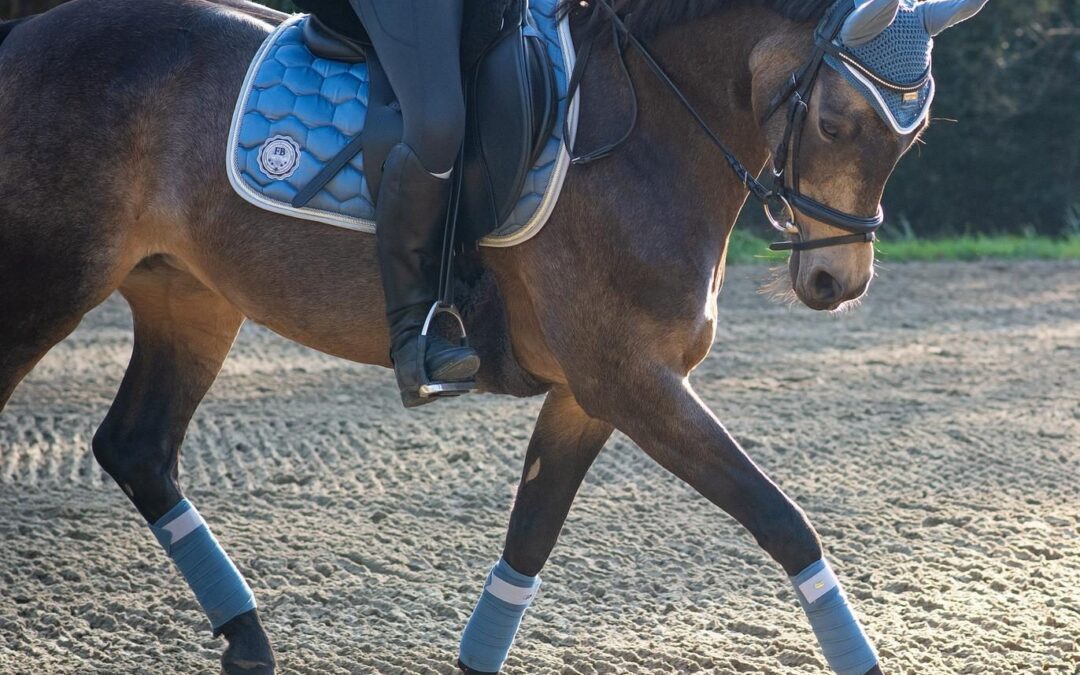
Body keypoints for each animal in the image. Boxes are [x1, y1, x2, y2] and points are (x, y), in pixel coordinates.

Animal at [0, 0, 989, 672]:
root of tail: (29, 36)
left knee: (137, 447)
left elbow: (528, 539)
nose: (836, 285)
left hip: (190, 297)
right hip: (48, 279)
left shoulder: (594, 393)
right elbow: (782, 518)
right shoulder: (633, 379)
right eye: (835, 121)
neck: (649, 136)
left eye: (912, 137)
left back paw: (247, 640)